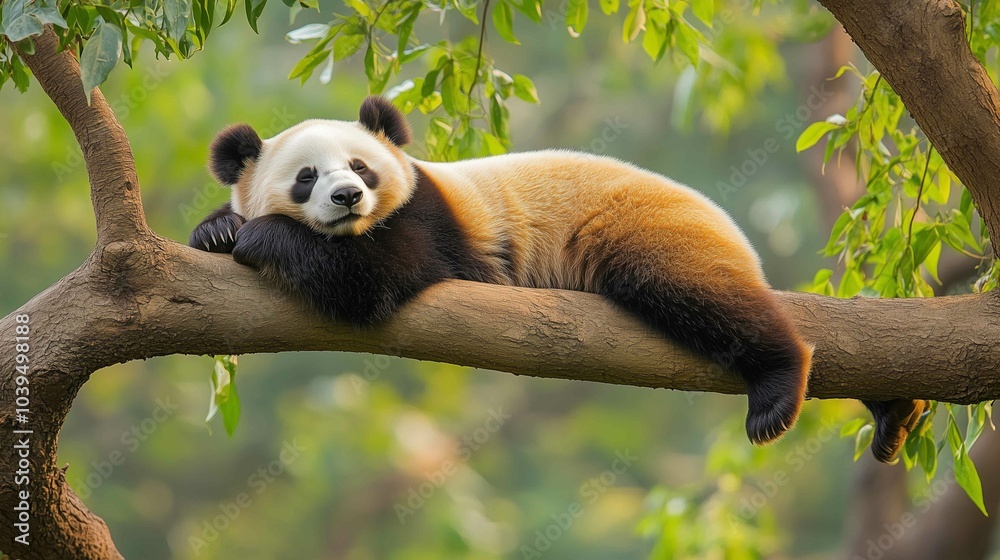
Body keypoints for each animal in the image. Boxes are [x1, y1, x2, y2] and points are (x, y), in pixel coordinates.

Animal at [190, 95, 924, 460]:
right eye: (306, 176)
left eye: (361, 168)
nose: (346, 198)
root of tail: (727, 222)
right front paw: (217, 232)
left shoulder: (427, 218)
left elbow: (372, 277)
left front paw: (260, 238)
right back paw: (894, 413)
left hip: (640, 228)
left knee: (705, 296)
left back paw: (776, 390)